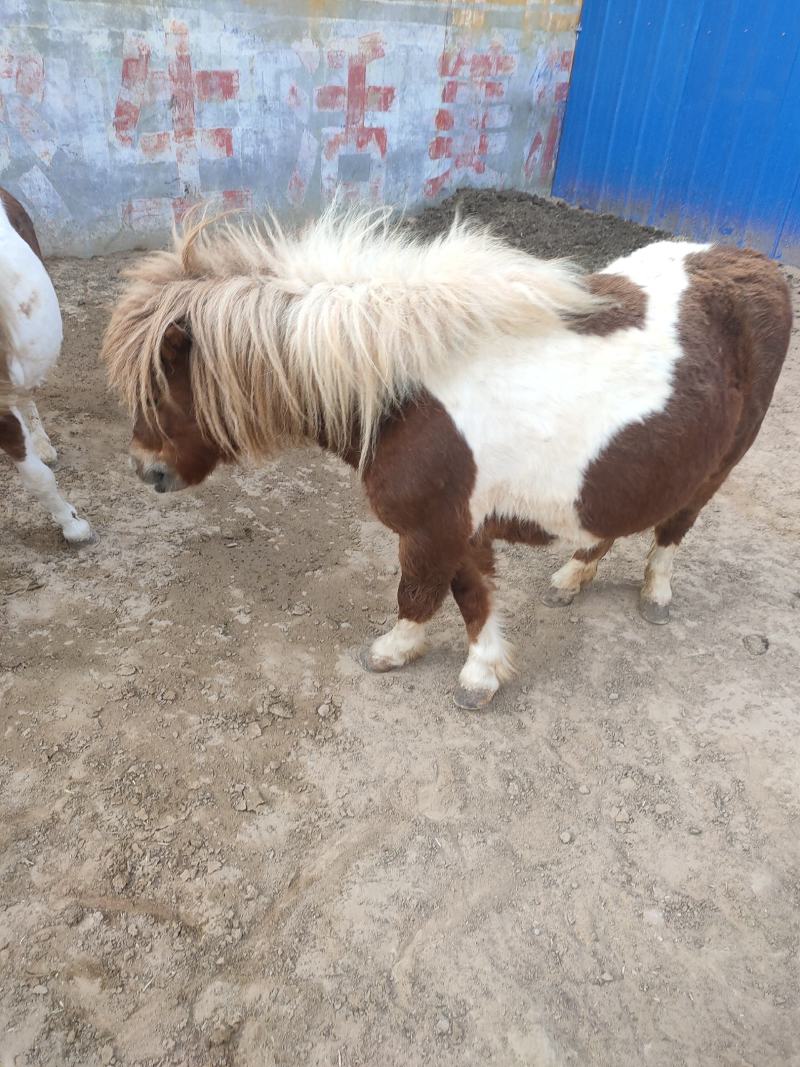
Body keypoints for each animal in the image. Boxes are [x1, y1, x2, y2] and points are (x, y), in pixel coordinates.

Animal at [101, 207, 791, 709]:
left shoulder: (433, 528)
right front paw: (477, 667)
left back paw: (655, 593)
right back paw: (573, 577)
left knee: (675, 527)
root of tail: (758, 263)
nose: (147, 471)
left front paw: (407, 654)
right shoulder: (460, 525)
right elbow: (470, 594)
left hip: (718, 466)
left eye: (157, 388)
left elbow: (421, 591)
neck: (400, 392)